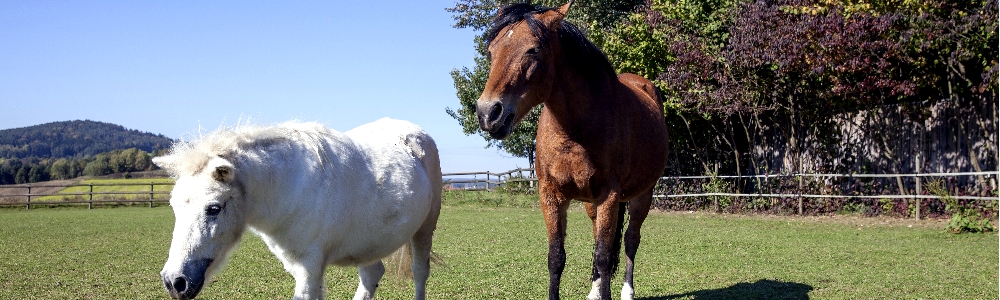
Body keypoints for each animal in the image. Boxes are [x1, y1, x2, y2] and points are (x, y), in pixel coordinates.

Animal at [153, 118, 442, 298]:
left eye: (213, 208)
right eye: (174, 206)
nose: (174, 282)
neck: (291, 187)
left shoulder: (309, 267)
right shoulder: (298, 266)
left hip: (425, 230)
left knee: (419, 273)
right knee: (372, 275)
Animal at [474, 1, 668, 298]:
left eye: (533, 49)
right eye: (491, 51)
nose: (488, 113)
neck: (574, 131)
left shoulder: (609, 195)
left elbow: (603, 255)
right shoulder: (551, 194)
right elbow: (557, 257)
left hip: (643, 194)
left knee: (630, 240)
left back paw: (627, 291)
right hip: (592, 203)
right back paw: (594, 290)